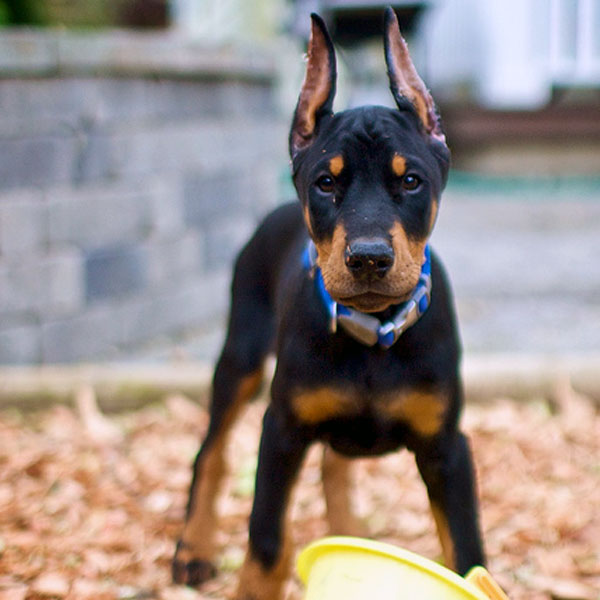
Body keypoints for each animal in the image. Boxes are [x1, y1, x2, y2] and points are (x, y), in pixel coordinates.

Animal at [171, 9, 486, 600]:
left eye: (411, 180)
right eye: (325, 183)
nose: (368, 259)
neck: (374, 333)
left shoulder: (447, 447)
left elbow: (466, 553)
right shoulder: (281, 430)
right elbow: (266, 536)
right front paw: (254, 585)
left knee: (334, 470)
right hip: (241, 356)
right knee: (211, 454)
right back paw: (193, 549)